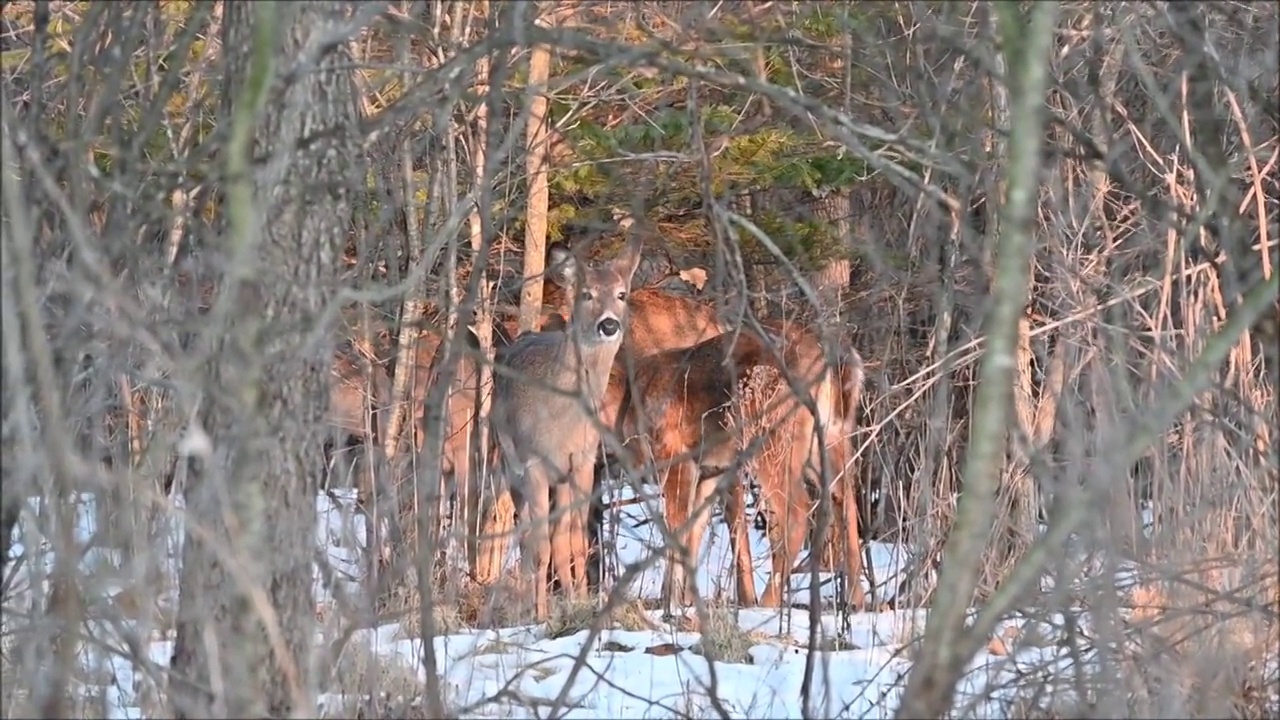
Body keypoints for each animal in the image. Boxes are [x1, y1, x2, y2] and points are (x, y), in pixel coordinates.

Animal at [491, 235, 650, 617]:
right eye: (586, 294)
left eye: (621, 294)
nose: (609, 325)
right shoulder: (533, 463)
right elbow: (541, 546)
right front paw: (540, 615)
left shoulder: (583, 461)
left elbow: (575, 542)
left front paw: (578, 603)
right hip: (510, 466)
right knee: (528, 537)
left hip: (561, 479)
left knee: (561, 538)